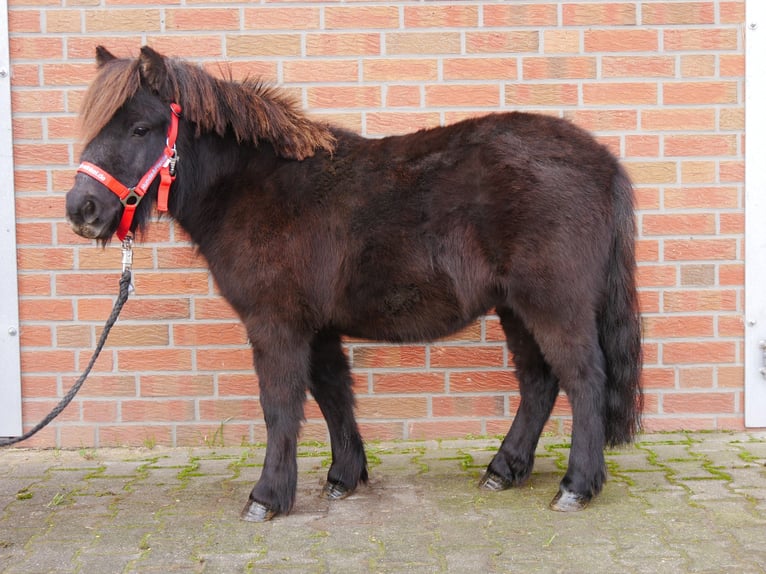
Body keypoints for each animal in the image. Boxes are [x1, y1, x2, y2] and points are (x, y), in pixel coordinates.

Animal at [66, 45, 644, 520]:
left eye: (140, 128)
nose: (81, 209)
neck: (256, 186)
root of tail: (604, 163)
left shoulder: (276, 323)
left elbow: (281, 406)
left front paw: (267, 497)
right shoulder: (316, 326)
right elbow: (331, 393)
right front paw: (344, 477)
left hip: (553, 303)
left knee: (584, 378)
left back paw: (576, 486)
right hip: (516, 308)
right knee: (539, 383)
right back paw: (505, 470)